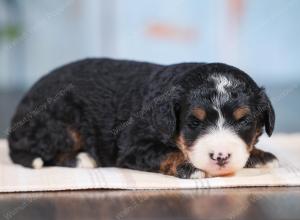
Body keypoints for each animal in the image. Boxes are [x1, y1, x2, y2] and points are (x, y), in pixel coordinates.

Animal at [7, 58, 278, 179]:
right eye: (194, 123)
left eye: (243, 121)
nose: (221, 156)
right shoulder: (134, 146)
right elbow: (167, 153)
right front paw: (190, 167)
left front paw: (261, 155)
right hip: (60, 121)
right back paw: (82, 159)